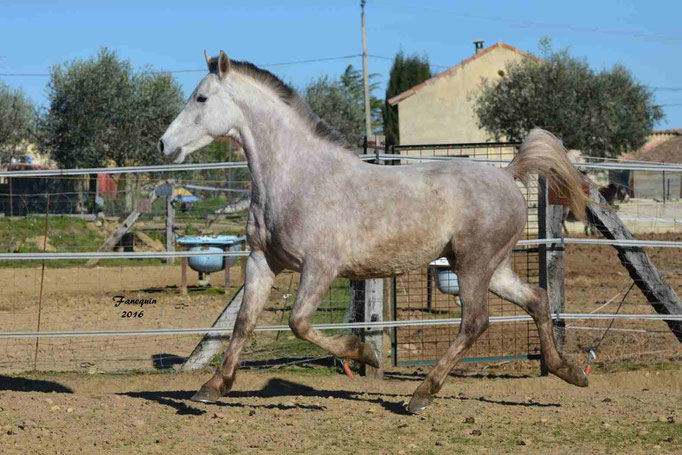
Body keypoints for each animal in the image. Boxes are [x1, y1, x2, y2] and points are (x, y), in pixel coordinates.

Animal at [157, 50, 588, 414]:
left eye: (201, 98)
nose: (164, 145)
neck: (297, 177)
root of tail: (508, 173)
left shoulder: (320, 267)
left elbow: (299, 323)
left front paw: (363, 352)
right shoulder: (262, 261)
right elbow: (244, 322)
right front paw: (212, 387)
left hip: (472, 264)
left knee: (475, 321)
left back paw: (420, 395)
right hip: (492, 267)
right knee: (536, 299)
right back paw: (569, 371)